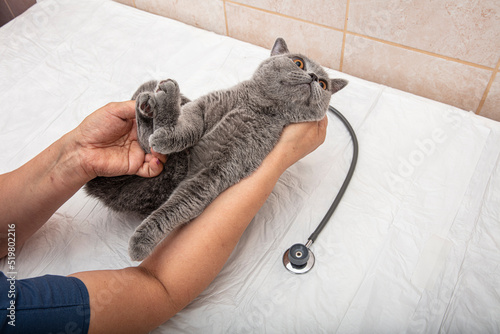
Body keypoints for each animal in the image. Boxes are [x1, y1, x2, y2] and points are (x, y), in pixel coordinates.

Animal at [85, 37, 348, 260]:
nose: (313, 76)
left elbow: (181, 202)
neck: (257, 106)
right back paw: (155, 101)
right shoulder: (202, 108)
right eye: (298, 62)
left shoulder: (220, 167)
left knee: (150, 142)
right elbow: (189, 127)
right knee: (150, 134)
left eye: (324, 84)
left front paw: (142, 242)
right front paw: (168, 130)